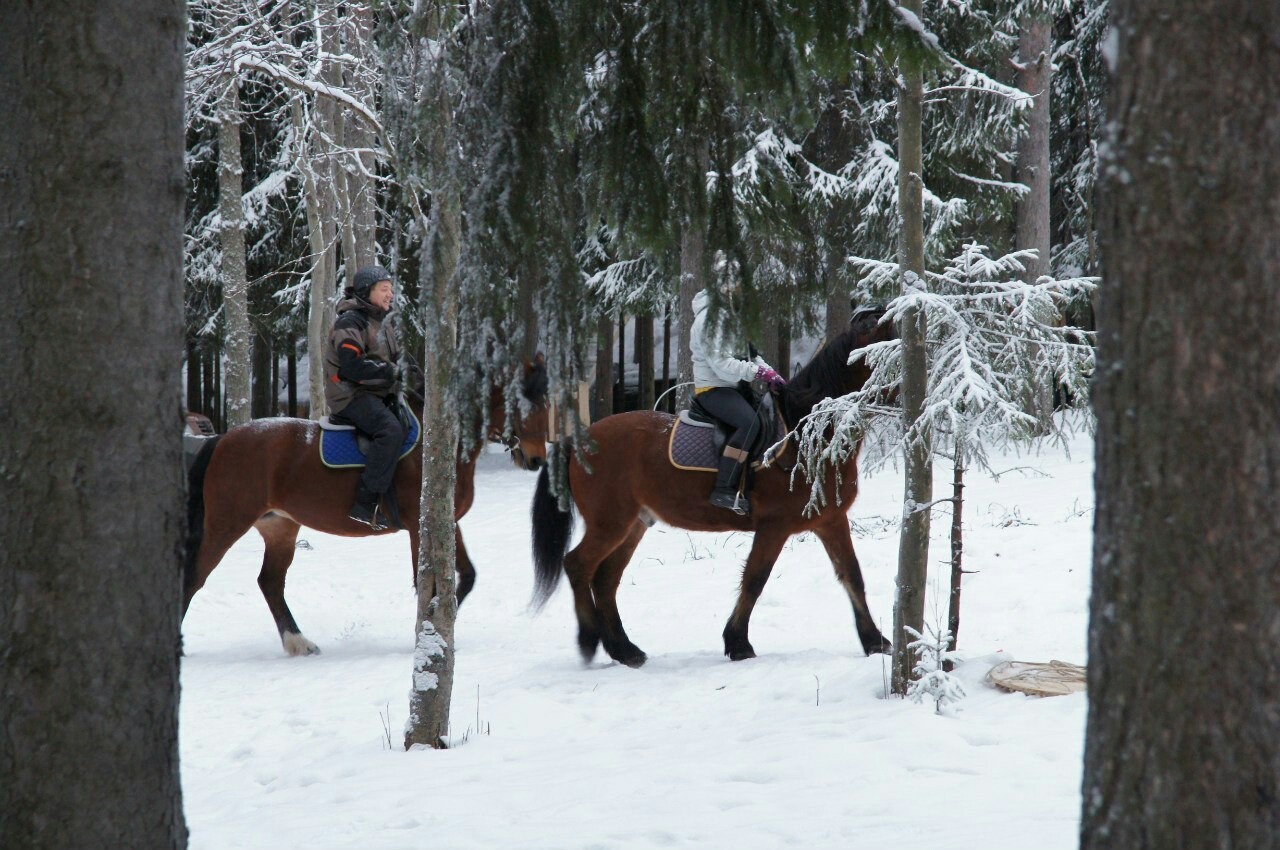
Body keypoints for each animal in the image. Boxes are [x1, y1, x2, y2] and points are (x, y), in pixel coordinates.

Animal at [186, 355, 547, 652]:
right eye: (527, 404)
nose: (536, 459)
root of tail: (223, 439)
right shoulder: (419, 526)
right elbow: (425, 583)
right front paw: (427, 635)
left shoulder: (447, 522)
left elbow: (467, 576)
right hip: (227, 523)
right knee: (196, 576)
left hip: (280, 527)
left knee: (270, 582)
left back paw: (298, 642)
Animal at [527, 308, 890, 665]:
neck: (807, 436)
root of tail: (579, 440)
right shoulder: (775, 525)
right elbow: (755, 579)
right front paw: (738, 642)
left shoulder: (831, 520)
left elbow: (852, 575)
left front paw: (875, 641)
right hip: (609, 523)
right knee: (578, 566)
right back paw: (590, 640)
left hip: (633, 524)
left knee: (604, 579)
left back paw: (625, 649)